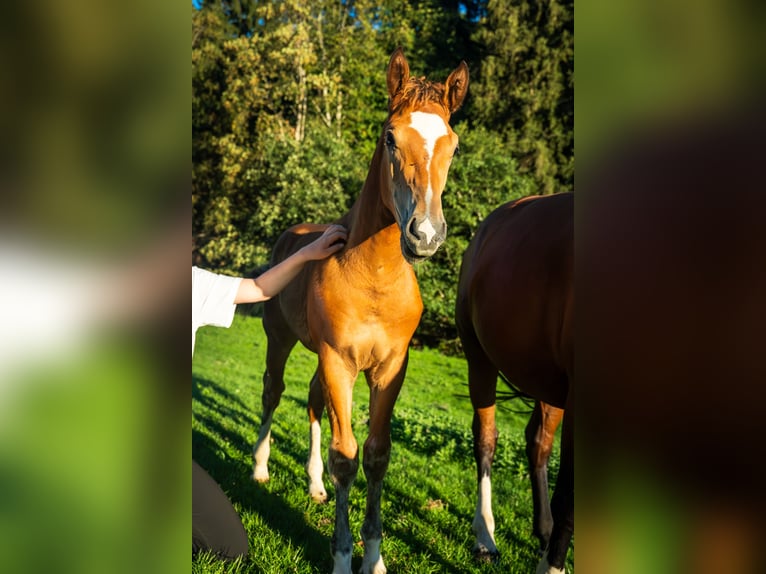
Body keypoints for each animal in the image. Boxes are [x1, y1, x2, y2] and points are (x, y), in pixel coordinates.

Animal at [252, 48, 468, 574]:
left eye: (453, 145)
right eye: (390, 136)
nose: (424, 234)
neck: (374, 278)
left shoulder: (389, 368)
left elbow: (375, 456)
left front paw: (374, 557)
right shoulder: (339, 362)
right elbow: (346, 457)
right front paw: (343, 555)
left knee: (312, 403)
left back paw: (314, 486)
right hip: (280, 340)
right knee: (273, 394)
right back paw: (262, 468)